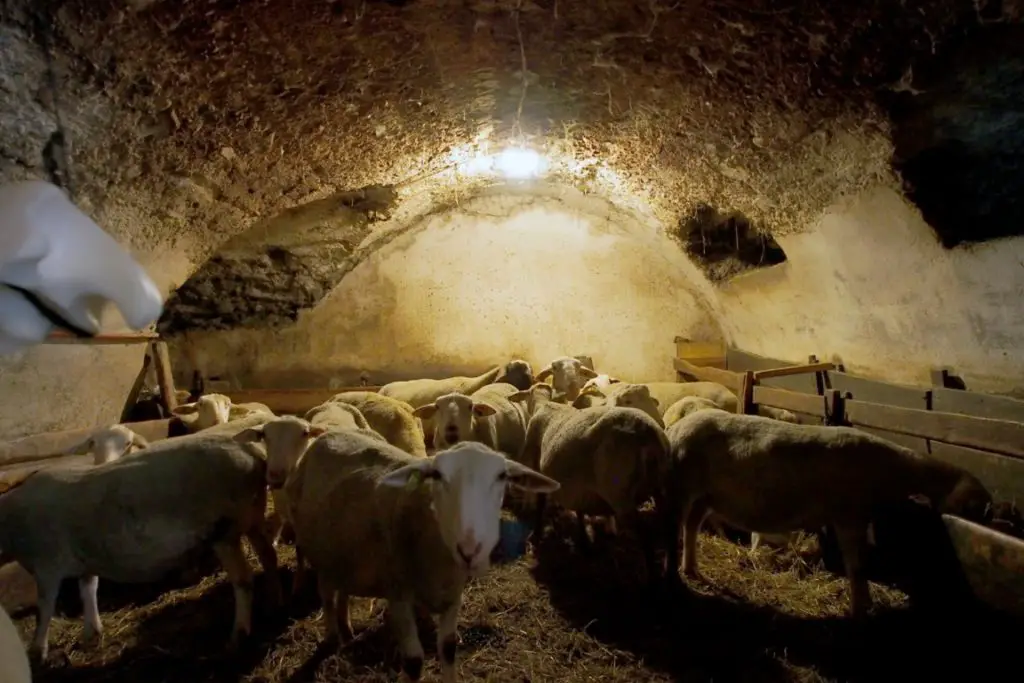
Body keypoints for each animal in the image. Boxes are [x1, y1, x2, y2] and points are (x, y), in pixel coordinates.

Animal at [0, 432, 280, 663]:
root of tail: (250, 451)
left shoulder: (47, 564)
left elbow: (45, 608)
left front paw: (37, 651)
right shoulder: (85, 558)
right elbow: (88, 590)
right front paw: (92, 631)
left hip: (225, 530)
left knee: (243, 581)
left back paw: (238, 635)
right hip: (252, 518)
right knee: (269, 556)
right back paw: (274, 600)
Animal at [284, 430, 557, 679]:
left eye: (502, 476)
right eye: (436, 475)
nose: (469, 550)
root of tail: (329, 433)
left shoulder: (453, 596)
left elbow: (448, 649)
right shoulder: (398, 595)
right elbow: (414, 662)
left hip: (343, 552)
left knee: (342, 588)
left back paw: (347, 628)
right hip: (317, 550)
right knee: (326, 593)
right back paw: (332, 635)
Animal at [509, 382, 671, 585]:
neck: (543, 404)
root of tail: (647, 434)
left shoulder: (539, 470)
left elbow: (540, 503)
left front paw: (535, 535)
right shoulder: (579, 485)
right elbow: (580, 510)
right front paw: (584, 541)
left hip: (619, 494)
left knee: (644, 534)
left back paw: (652, 578)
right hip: (660, 487)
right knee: (668, 527)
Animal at [663, 411, 991, 618]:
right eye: (974, 508)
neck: (893, 471)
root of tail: (677, 427)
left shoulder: (859, 517)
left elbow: (861, 562)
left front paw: (865, 602)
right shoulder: (848, 515)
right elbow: (855, 565)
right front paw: (858, 609)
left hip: (706, 496)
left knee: (691, 527)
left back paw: (692, 570)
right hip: (683, 486)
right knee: (673, 529)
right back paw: (675, 578)